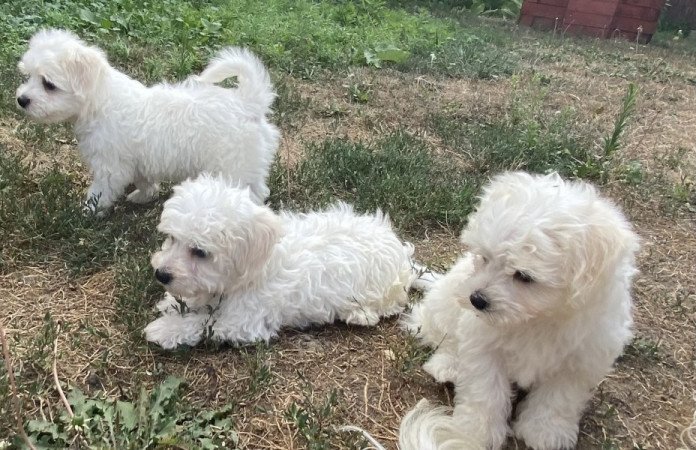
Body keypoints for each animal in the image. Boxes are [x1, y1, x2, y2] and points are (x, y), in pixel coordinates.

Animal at [17, 29, 278, 211]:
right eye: (28, 76)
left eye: (48, 84)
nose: (21, 99)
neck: (99, 99)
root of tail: (248, 102)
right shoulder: (137, 161)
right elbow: (144, 181)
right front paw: (144, 196)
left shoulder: (110, 166)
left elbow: (101, 191)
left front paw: (86, 212)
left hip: (235, 165)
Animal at [145, 174, 418, 350]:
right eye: (171, 238)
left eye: (200, 252)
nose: (161, 274)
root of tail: (403, 257)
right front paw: (172, 303)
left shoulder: (244, 322)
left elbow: (203, 322)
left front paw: (166, 328)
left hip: (381, 293)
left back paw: (360, 314)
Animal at [400, 171, 640, 450]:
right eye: (485, 258)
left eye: (524, 276)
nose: (477, 299)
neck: (539, 317)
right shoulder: (484, 345)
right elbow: (485, 392)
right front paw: (475, 432)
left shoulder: (581, 360)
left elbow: (559, 398)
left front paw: (545, 431)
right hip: (447, 301)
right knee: (441, 333)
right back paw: (447, 365)